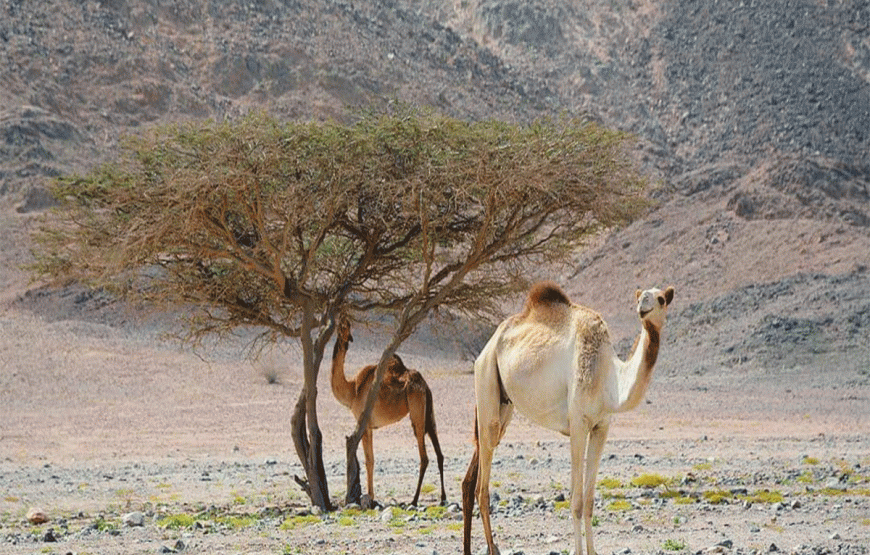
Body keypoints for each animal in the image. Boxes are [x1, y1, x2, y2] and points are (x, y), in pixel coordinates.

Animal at [330, 318, 446, 508]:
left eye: (344, 326)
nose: (342, 320)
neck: (352, 389)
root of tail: (424, 385)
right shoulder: (369, 427)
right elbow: (370, 459)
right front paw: (370, 497)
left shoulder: (364, 424)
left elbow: (369, 460)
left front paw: (370, 497)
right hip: (429, 411)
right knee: (439, 451)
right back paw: (443, 498)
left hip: (416, 408)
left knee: (424, 456)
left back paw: (414, 500)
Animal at [460, 282, 676, 555]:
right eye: (641, 298)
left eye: (661, 299)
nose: (643, 306)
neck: (608, 378)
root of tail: (487, 346)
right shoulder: (578, 425)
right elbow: (576, 501)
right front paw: (579, 551)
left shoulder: (601, 427)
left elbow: (590, 500)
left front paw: (593, 551)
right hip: (486, 377)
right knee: (483, 486)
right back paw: (492, 547)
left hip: (503, 403)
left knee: (473, 474)